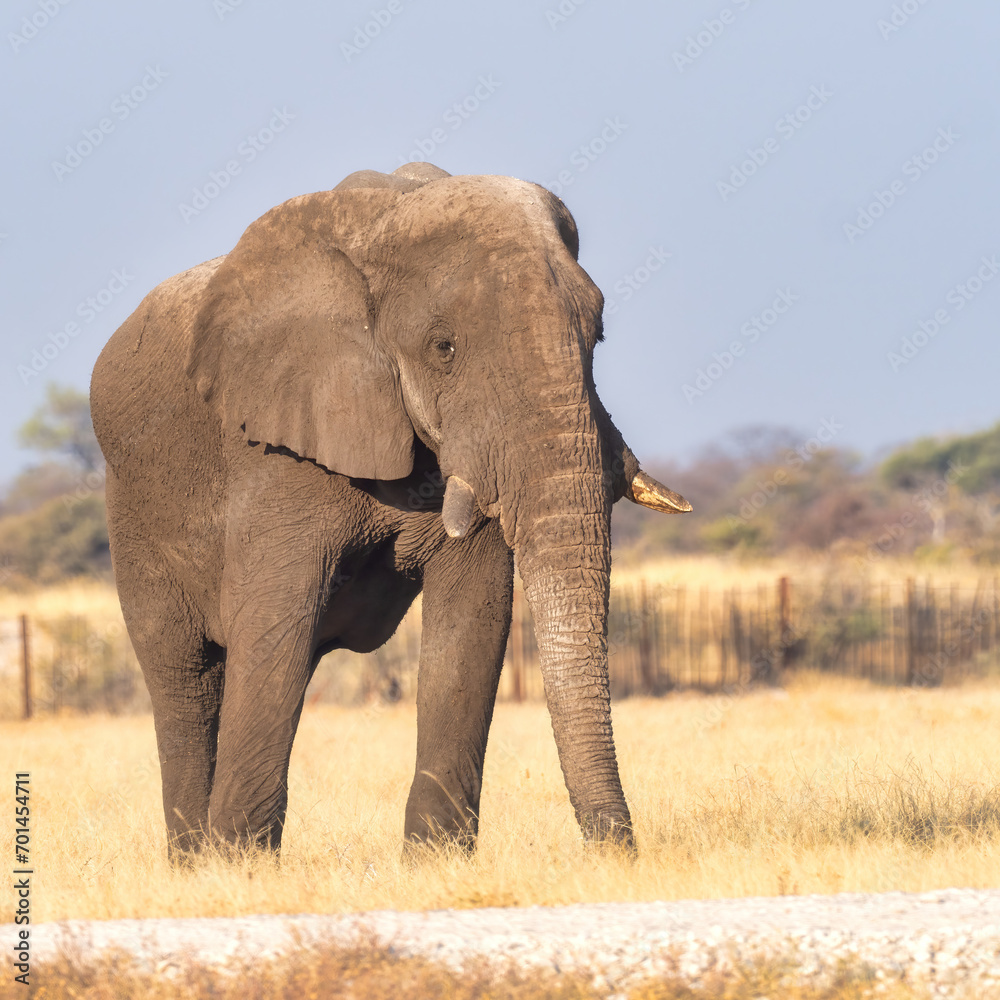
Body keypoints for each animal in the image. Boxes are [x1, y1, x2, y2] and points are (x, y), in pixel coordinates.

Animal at [90, 161, 690, 859]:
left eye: (597, 336)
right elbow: (275, 622)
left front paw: (436, 863)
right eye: (444, 347)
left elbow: (473, 618)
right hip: (133, 511)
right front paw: (239, 866)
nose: (612, 850)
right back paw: (193, 862)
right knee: (187, 681)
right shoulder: (277, 445)